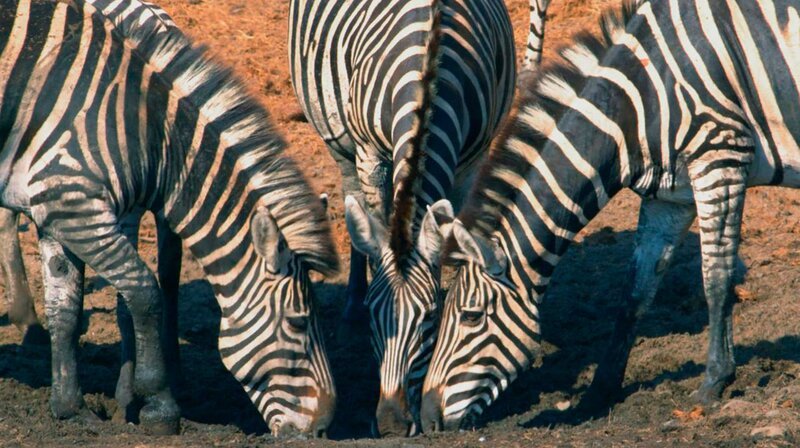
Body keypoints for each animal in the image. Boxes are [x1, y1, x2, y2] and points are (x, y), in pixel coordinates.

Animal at [0, 0, 339, 436]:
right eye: (298, 322)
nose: (323, 428)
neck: (144, 131)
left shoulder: (59, 211)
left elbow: (66, 311)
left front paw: (71, 407)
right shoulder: (78, 207)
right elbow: (144, 293)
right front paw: (159, 405)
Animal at [289, 0, 516, 436]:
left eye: (429, 320)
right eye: (377, 319)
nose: (392, 423)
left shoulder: (470, 160)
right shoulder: (367, 151)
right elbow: (376, 224)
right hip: (337, 138)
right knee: (354, 203)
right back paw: (349, 306)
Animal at [421, 0, 800, 431]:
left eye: (470, 317)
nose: (427, 419)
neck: (639, 103)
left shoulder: (721, 157)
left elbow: (716, 279)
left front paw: (715, 380)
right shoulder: (670, 197)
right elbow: (633, 294)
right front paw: (598, 392)